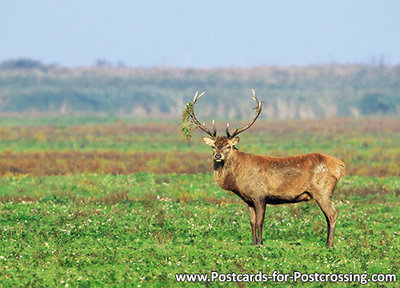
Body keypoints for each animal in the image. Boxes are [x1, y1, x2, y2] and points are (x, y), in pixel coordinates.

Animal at [186, 90, 346, 248]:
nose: (218, 156)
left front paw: (261, 243)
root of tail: (339, 166)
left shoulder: (260, 195)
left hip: (322, 191)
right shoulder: (249, 200)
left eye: (228, 146)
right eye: (213, 146)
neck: (238, 179)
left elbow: (259, 221)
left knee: (332, 214)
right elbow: (251, 221)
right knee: (328, 216)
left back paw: (329, 245)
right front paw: (253, 242)